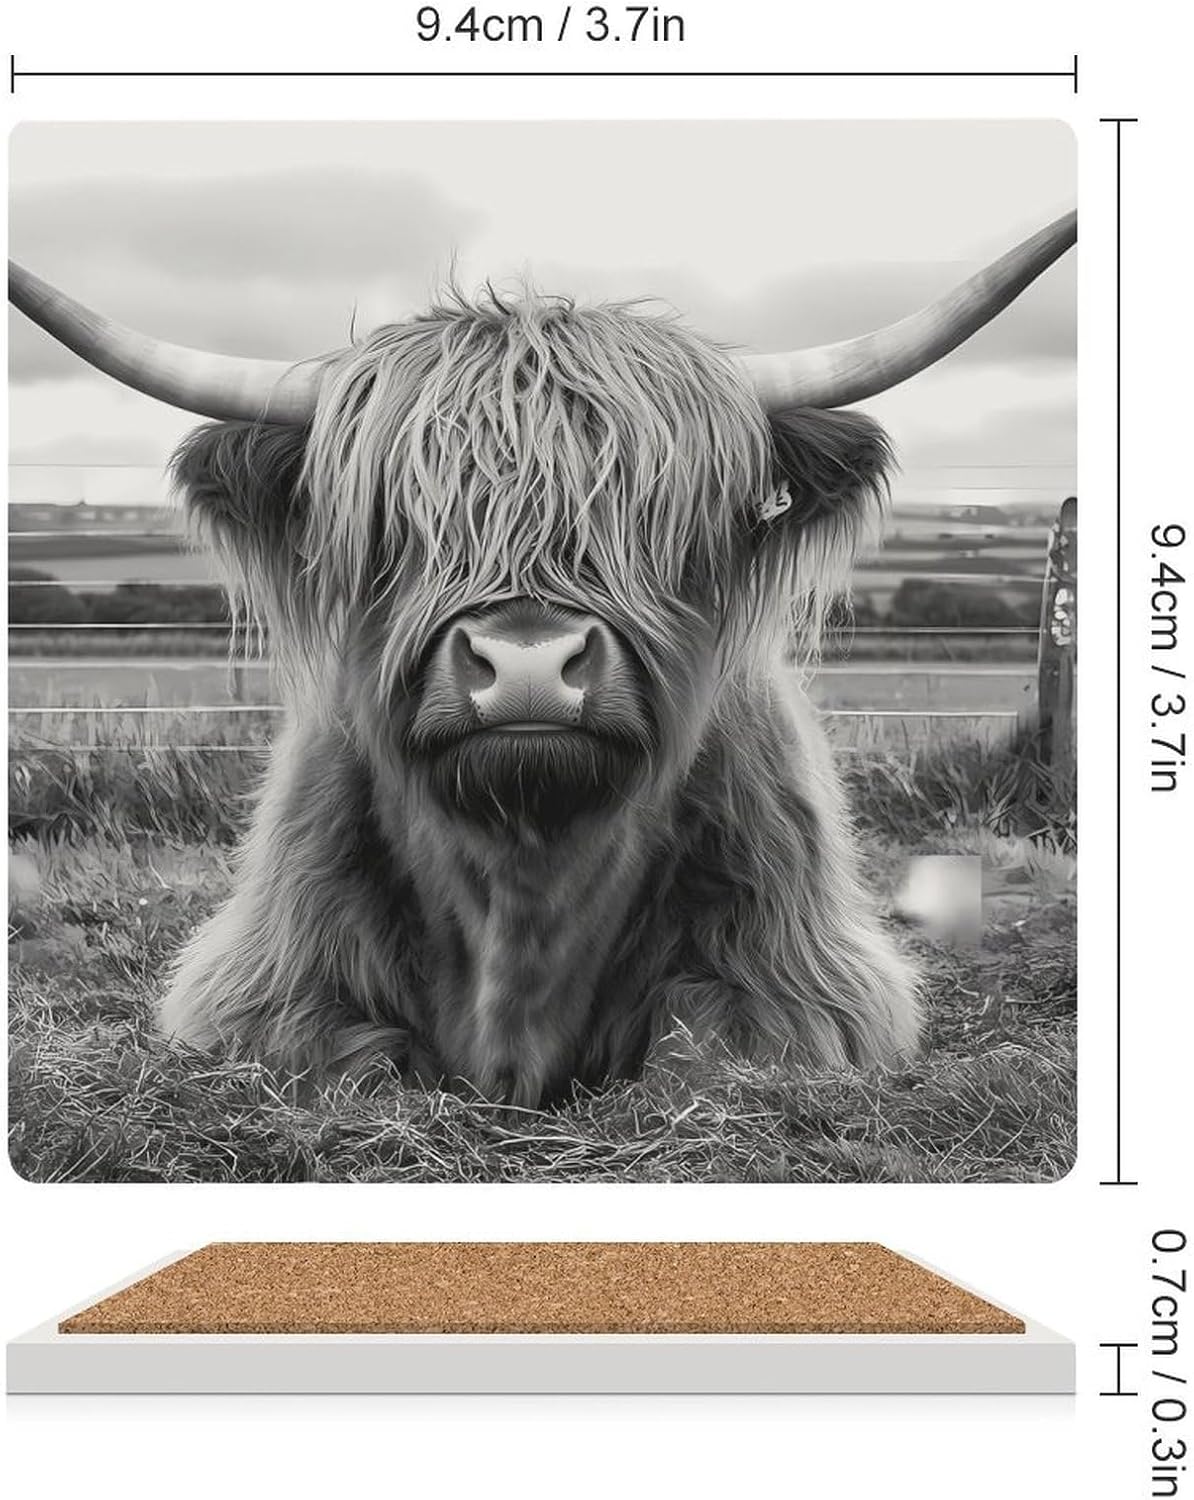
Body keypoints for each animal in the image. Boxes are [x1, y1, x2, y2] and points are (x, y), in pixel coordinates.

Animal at [9, 211, 1075, 1105]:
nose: (526, 663)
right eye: (396, 524)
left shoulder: (805, 989)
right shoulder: (263, 990)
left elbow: (702, 1044)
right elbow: (354, 1057)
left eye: (655, 519)